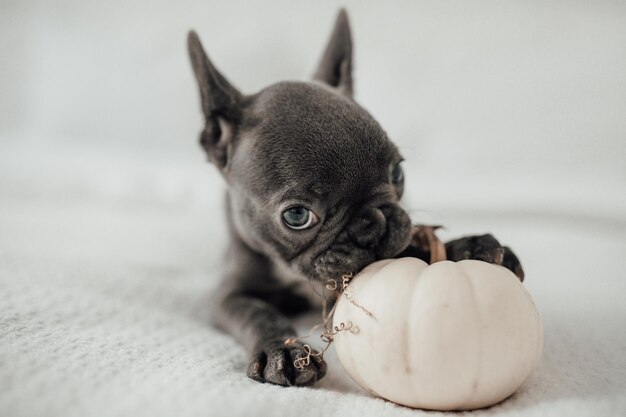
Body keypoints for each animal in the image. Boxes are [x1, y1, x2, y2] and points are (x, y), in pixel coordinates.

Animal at [185, 9, 520, 386]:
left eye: (397, 173)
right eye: (297, 216)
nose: (375, 223)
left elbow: (413, 246)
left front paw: (468, 246)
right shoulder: (231, 294)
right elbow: (258, 313)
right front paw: (282, 350)